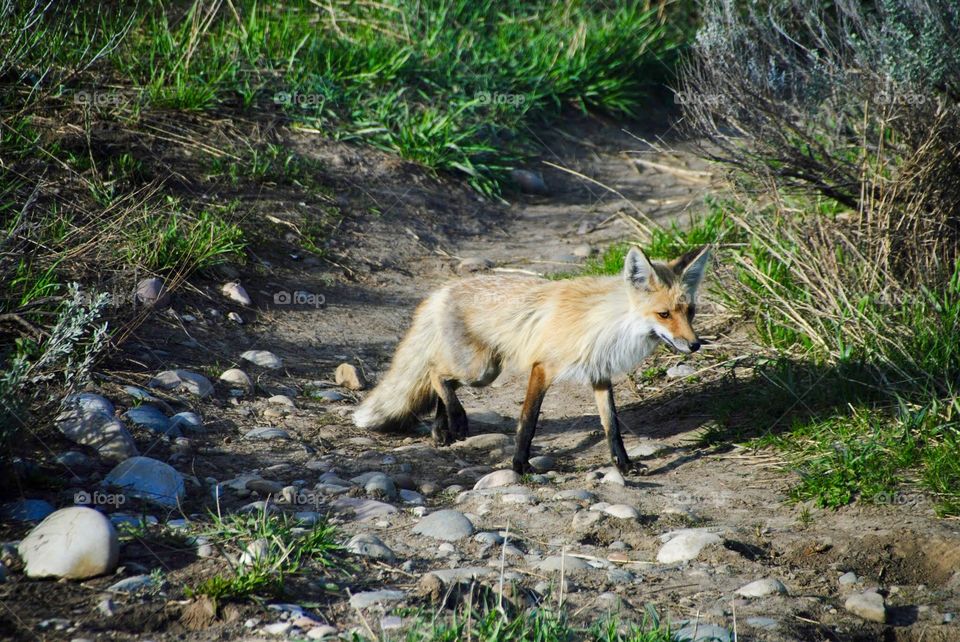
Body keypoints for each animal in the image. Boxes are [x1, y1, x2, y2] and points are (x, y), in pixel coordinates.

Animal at [352, 245, 711, 474]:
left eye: (690, 312)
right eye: (664, 314)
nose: (695, 345)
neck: (604, 323)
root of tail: (441, 290)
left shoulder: (599, 375)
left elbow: (611, 426)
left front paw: (622, 464)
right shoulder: (543, 367)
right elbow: (528, 421)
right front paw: (520, 465)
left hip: (483, 369)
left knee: (441, 380)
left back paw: (441, 429)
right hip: (479, 369)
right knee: (435, 372)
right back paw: (454, 420)